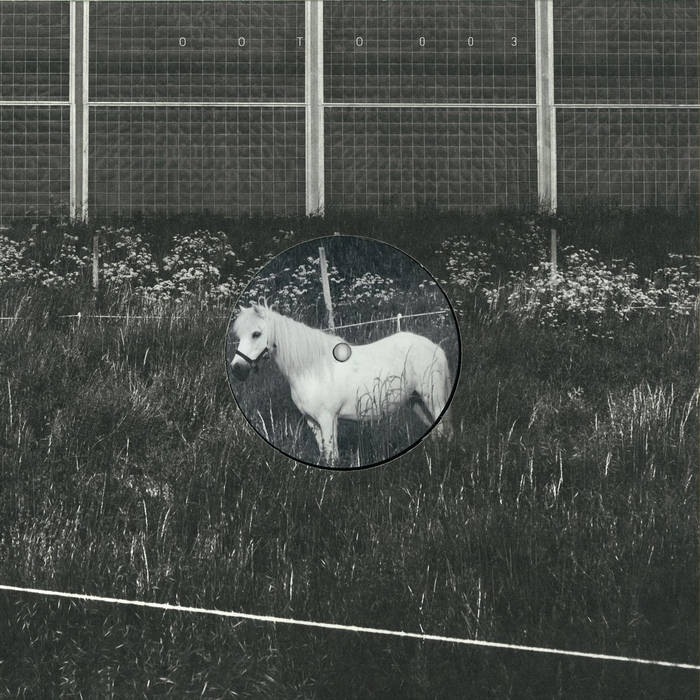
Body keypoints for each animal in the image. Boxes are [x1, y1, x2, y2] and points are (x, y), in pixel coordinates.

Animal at [230, 303, 453, 467]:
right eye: (239, 336)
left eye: (256, 334)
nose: (237, 369)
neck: (312, 368)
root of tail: (435, 347)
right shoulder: (313, 422)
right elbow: (325, 454)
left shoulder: (328, 419)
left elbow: (332, 456)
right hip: (416, 402)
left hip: (433, 400)